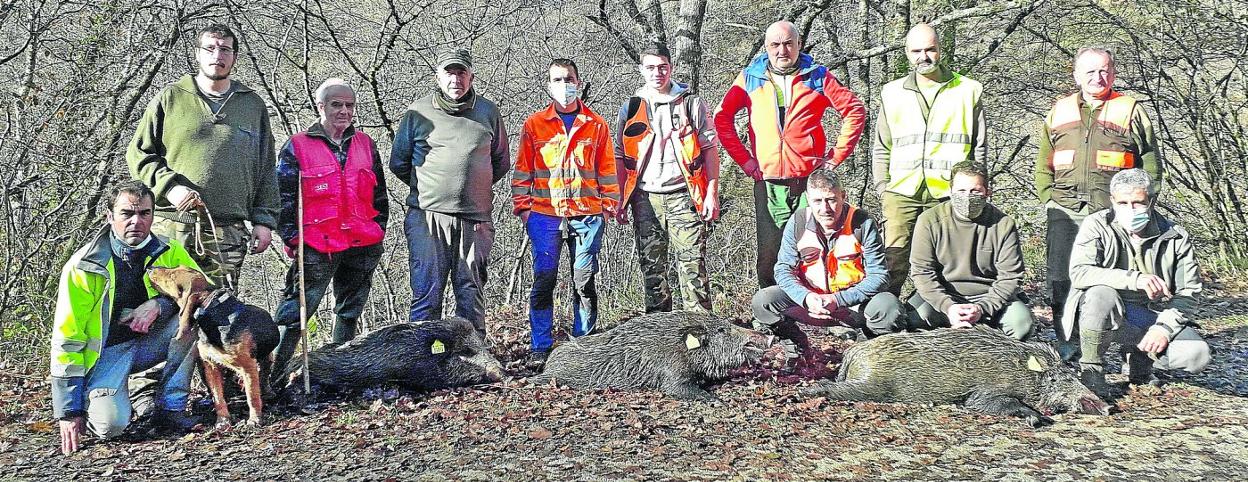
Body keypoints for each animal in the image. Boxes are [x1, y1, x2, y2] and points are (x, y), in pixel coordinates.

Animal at [148, 265, 278, 427]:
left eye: (172, 276)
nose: (150, 267)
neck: (212, 316)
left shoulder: (248, 366)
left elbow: (252, 396)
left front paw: (254, 419)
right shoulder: (210, 365)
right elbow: (218, 397)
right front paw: (223, 421)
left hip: (266, 358)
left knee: (264, 377)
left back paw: (267, 392)